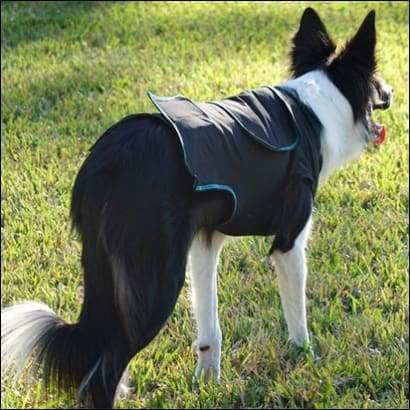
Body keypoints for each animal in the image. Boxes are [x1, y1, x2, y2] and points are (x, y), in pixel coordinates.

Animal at [0, 7, 394, 410]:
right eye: (376, 78)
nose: (392, 92)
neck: (316, 107)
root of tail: (106, 161)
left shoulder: (205, 242)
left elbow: (209, 326)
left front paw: (208, 382)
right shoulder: (290, 241)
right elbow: (297, 315)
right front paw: (306, 359)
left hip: (109, 268)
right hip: (154, 279)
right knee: (103, 372)